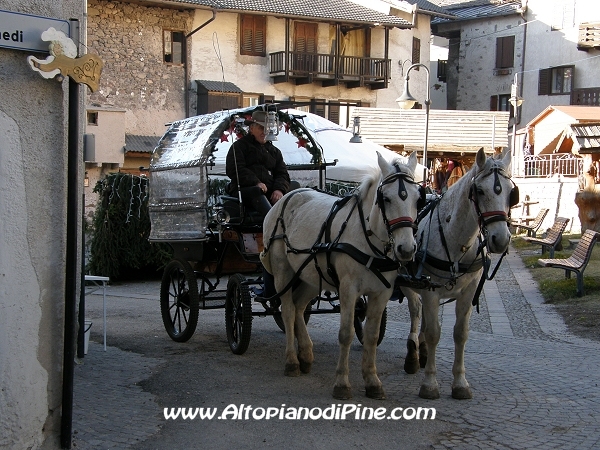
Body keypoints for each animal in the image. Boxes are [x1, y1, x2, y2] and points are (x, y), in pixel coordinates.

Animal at [262, 153, 422, 400]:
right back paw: (292, 361)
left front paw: (372, 380)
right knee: (287, 311)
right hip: (283, 272)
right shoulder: (348, 290)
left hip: (310, 275)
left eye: (417, 199)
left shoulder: (381, 293)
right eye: (385, 198)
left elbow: (371, 335)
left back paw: (305, 353)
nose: (406, 249)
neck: (367, 238)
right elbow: (346, 334)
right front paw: (342, 382)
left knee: (299, 307)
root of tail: (287, 196)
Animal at [400, 149, 512, 400]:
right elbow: (434, 333)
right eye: (480, 191)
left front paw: (460, 383)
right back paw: (413, 354)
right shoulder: (430, 291)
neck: (455, 240)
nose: (500, 239)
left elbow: (460, 333)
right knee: (415, 310)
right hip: (407, 282)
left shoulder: (468, 291)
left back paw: (422, 351)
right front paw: (430, 384)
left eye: (511, 192)